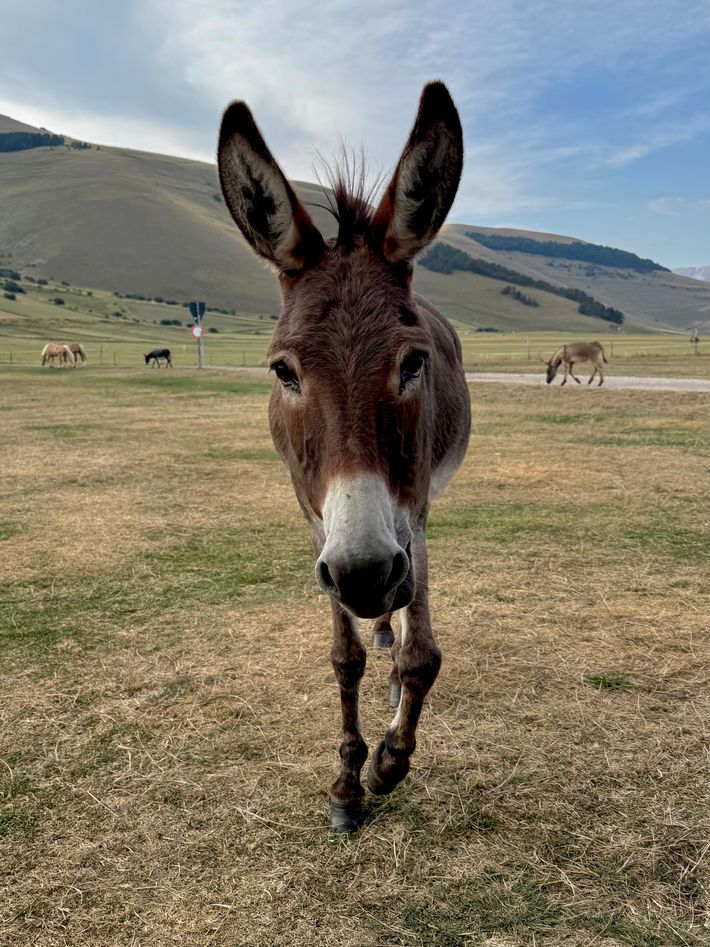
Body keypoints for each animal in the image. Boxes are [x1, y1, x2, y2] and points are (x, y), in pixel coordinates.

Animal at [218, 81, 470, 832]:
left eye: (414, 363)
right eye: (283, 371)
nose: (364, 571)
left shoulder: (412, 510)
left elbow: (423, 657)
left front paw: (388, 761)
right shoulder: (315, 518)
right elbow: (343, 655)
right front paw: (347, 783)